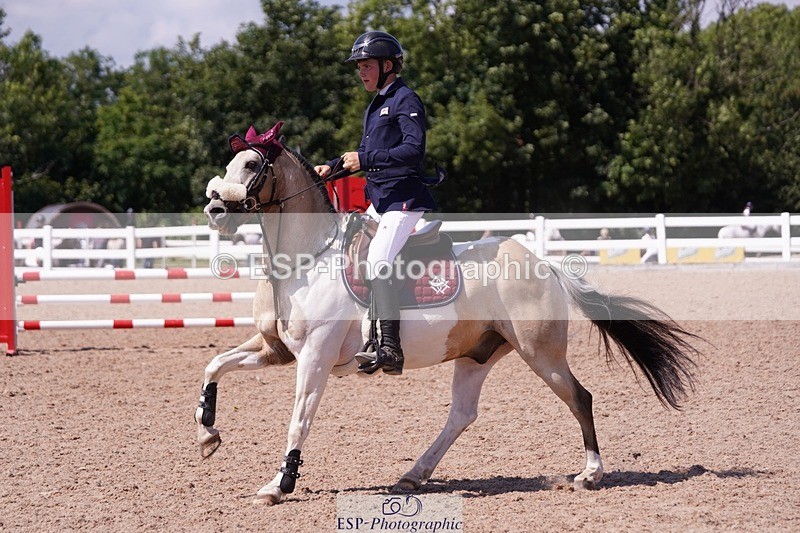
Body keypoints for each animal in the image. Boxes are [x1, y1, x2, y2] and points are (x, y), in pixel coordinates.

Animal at [195, 122, 699, 505]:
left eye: (252, 165)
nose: (215, 208)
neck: (305, 259)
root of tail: (544, 263)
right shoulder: (275, 350)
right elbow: (214, 365)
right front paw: (207, 433)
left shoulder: (314, 358)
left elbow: (298, 419)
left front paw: (278, 485)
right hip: (478, 354)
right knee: (462, 414)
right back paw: (413, 475)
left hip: (541, 353)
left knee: (580, 398)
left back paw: (589, 474)